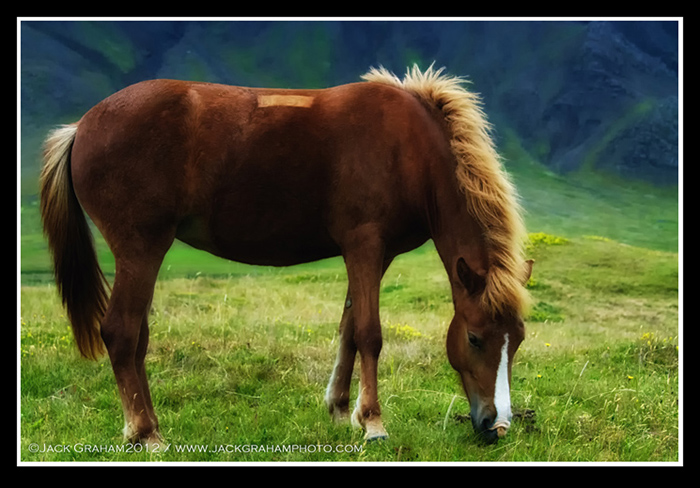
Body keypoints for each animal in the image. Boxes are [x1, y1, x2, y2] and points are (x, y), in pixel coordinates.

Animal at [39, 65, 533, 446]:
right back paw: (146, 434)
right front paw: (373, 422)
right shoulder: (365, 246)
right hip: (142, 247)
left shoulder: (377, 255)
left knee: (136, 337)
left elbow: (349, 328)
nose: (496, 426)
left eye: (519, 340)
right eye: (475, 338)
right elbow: (369, 333)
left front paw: (340, 410)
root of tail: (81, 127)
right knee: (122, 333)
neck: (409, 150)